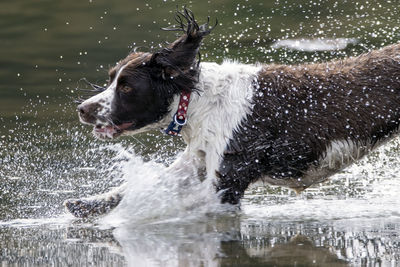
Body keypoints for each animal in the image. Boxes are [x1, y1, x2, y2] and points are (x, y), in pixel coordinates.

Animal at [65, 8, 400, 219]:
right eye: (111, 78)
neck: (199, 103)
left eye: (126, 87)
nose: (82, 109)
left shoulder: (228, 178)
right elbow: (146, 184)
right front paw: (87, 204)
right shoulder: (199, 158)